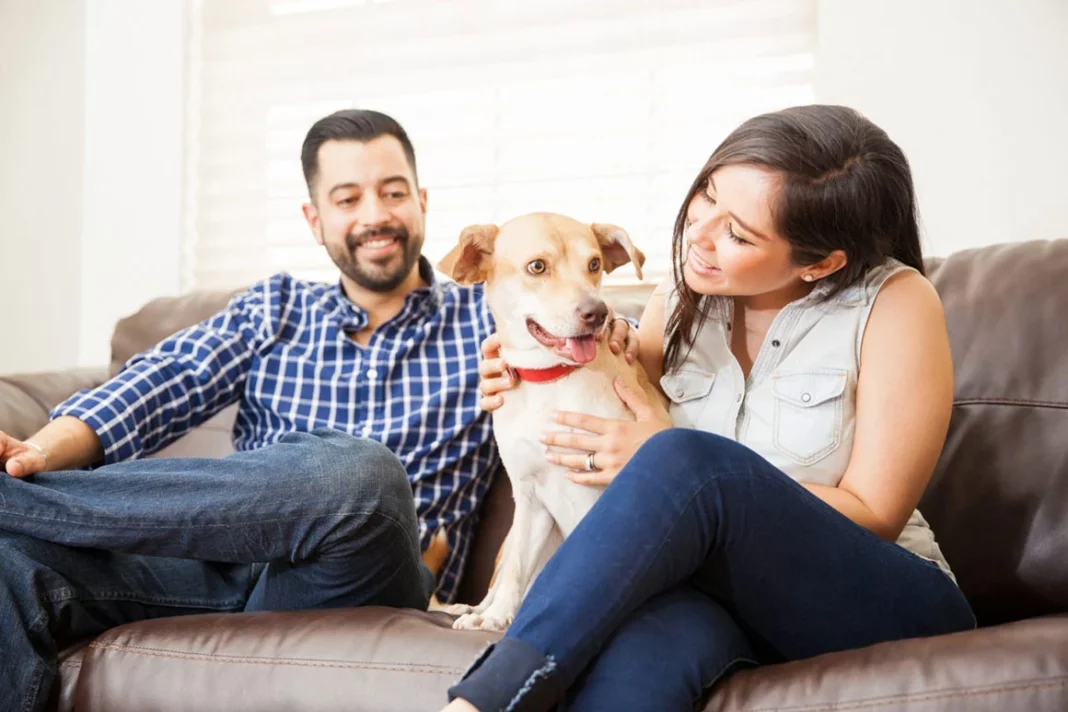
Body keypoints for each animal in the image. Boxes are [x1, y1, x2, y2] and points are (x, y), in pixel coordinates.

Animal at [437, 210, 662, 627]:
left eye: (594, 264)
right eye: (537, 267)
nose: (598, 313)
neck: (552, 380)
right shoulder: (528, 499)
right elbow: (516, 571)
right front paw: (497, 617)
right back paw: (476, 610)